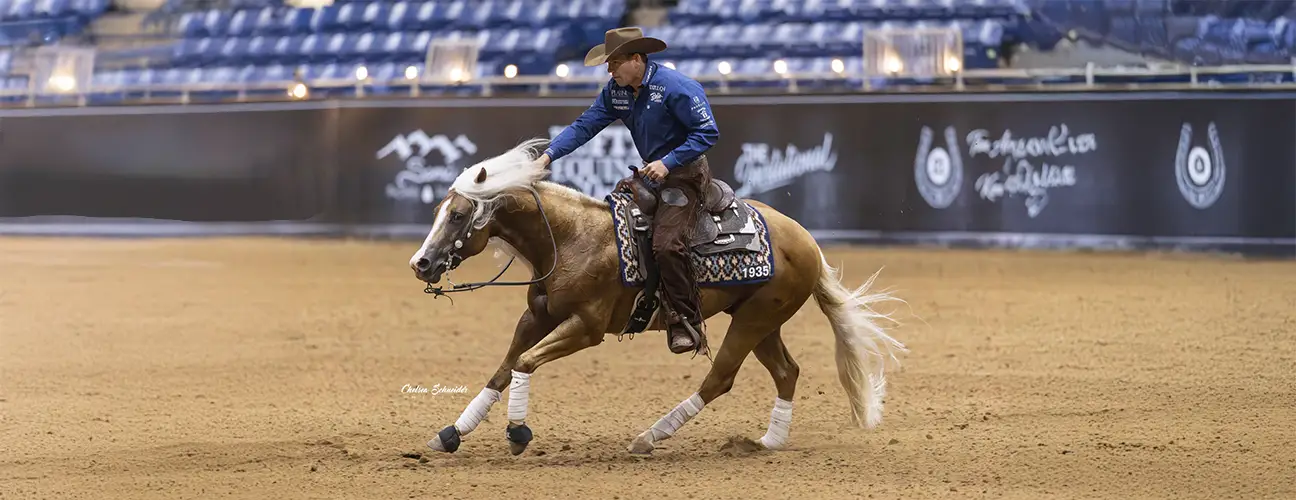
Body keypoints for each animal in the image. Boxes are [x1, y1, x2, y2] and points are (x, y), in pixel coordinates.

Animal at [407, 138, 908, 456]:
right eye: (437, 210)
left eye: (457, 215)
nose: (421, 264)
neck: (571, 239)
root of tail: (807, 242)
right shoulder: (538, 317)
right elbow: (504, 367)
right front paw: (451, 432)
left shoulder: (586, 329)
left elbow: (526, 363)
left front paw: (517, 432)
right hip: (761, 319)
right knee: (787, 372)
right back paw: (768, 442)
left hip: (754, 320)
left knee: (719, 379)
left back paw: (650, 437)